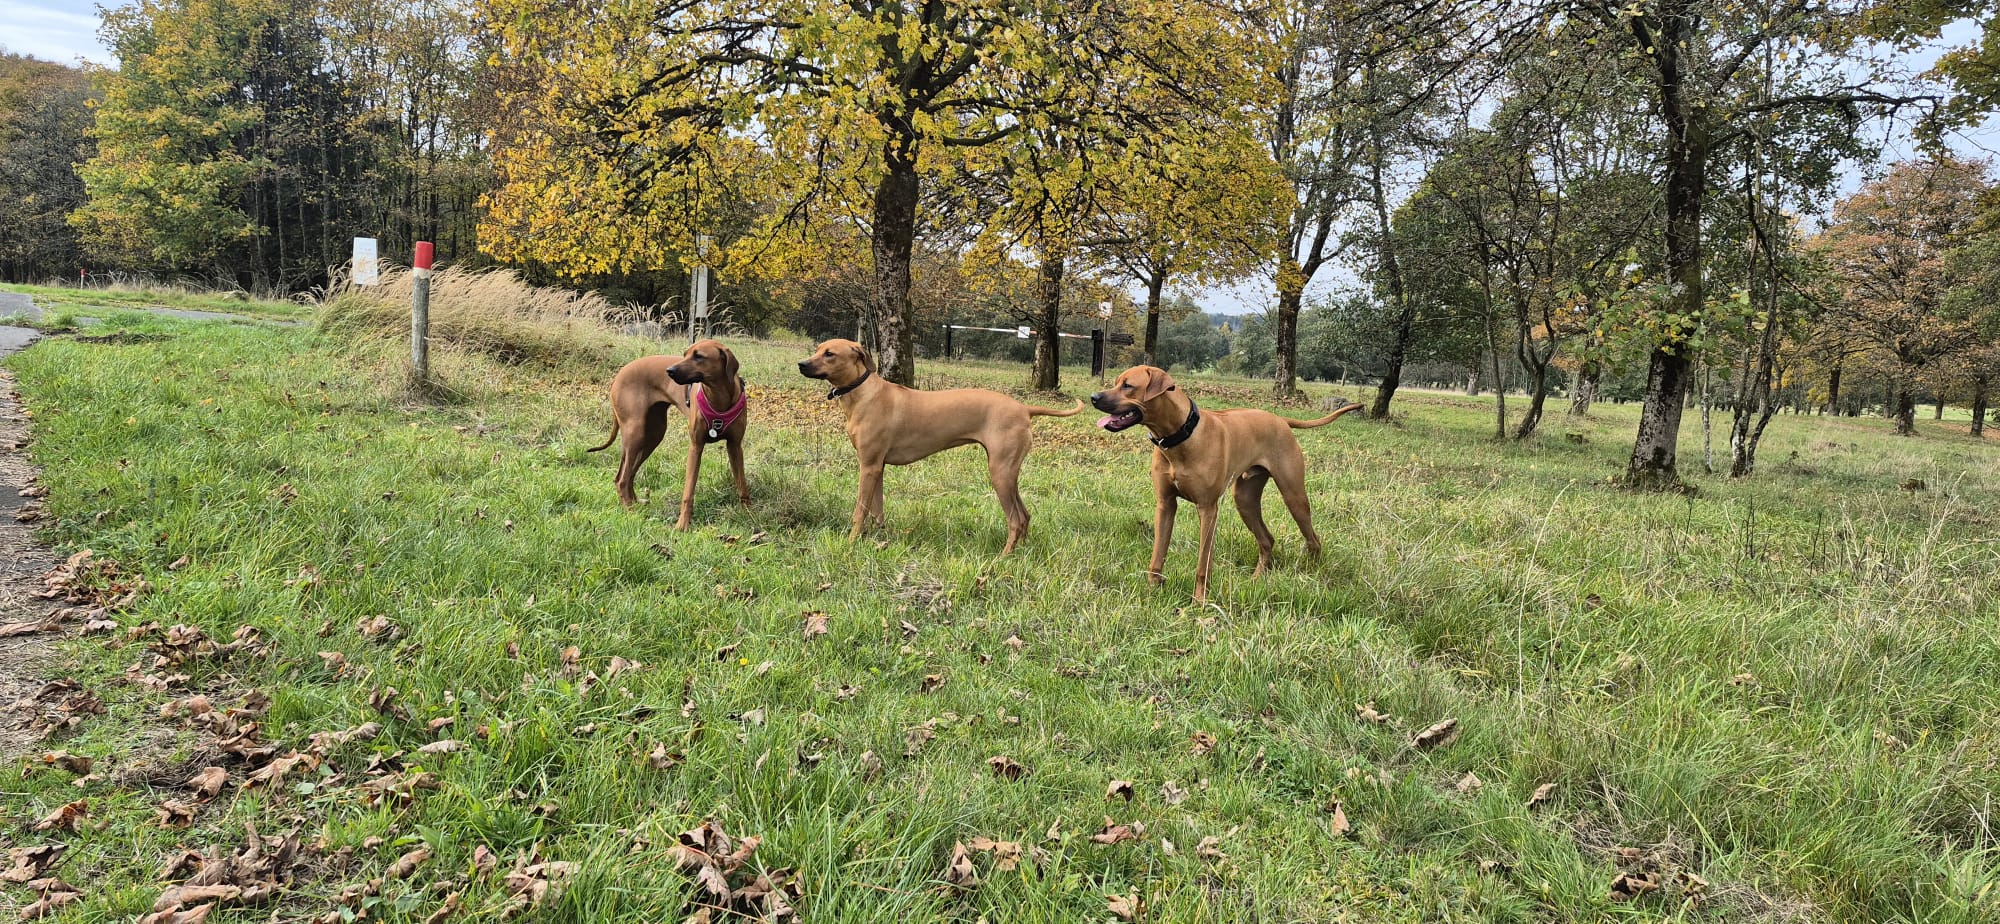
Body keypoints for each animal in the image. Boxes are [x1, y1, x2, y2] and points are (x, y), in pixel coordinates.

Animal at [586, 339, 750, 529]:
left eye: (698, 356)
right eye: (685, 354)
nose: (669, 371)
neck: (718, 396)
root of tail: (619, 374)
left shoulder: (735, 446)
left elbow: (742, 485)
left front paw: (749, 514)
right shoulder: (695, 447)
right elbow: (688, 492)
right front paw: (682, 525)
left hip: (652, 435)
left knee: (628, 475)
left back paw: (636, 503)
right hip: (636, 433)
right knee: (622, 479)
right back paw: (630, 511)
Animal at [796, 338, 1081, 554]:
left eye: (830, 354)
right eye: (817, 348)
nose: (801, 364)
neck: (863, 393)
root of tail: (1024, 408)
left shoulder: (867, 466)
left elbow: (859, 511)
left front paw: (850, 542)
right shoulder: (877, 467)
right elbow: (876, 509)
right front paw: (878, 539)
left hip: (1000, 472)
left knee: (1016, 519)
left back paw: (1003, 557)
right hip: (1009, 474)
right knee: (1026, 515)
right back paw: (1021, 552)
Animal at [1091, 365, 1360, 602]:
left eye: (1128, 386)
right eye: (1116, 382)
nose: (1094, 397)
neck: (1181, 436)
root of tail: (1280, 419)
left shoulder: (1208, 509)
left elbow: (1203, 562)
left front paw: (1199, 600)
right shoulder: (1165, 505)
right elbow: (1158, 553)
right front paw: (1151, 590)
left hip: (1293, 495)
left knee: (1313, 538)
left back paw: (1312, 573)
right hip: (1245, 500)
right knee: (1267, 540)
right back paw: (1256, 579)